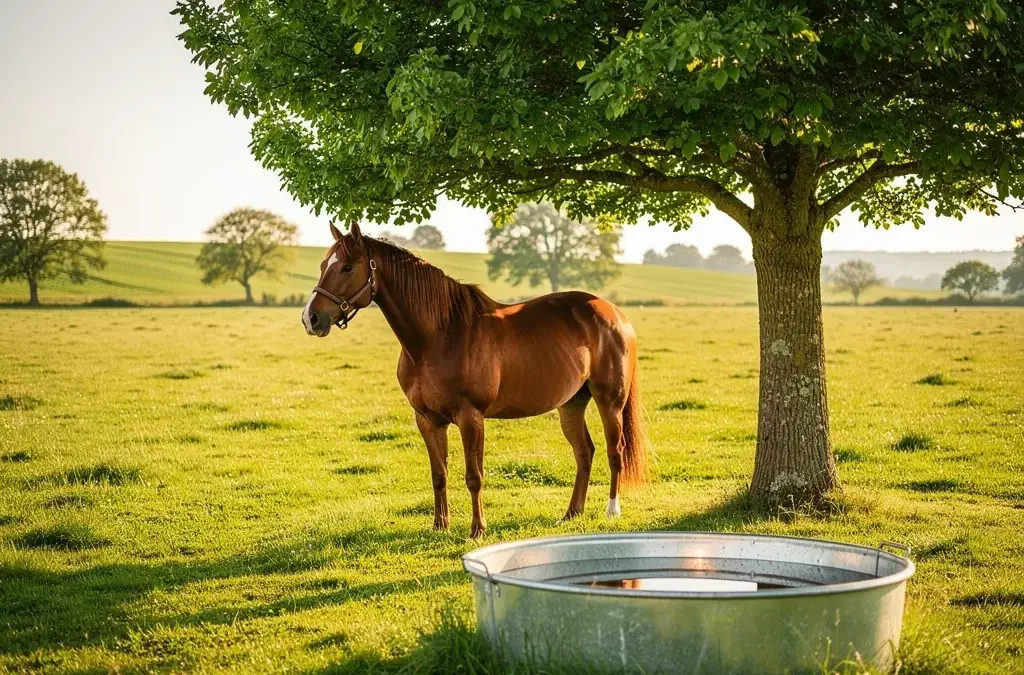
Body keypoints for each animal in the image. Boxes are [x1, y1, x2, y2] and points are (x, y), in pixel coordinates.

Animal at [301, 221, 649, 538]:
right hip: (571, 403)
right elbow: (439, 473)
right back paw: (571, 514)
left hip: (609, 401)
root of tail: (615, 313)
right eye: (322, 265)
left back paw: (611, 510)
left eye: (347, 267)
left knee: (615, 450)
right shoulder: (427, 419)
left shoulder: (471, 417)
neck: (439, 336)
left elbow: (474, 475)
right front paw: (439, 526)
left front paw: (477, 529)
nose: (311, 318)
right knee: (584, 452)